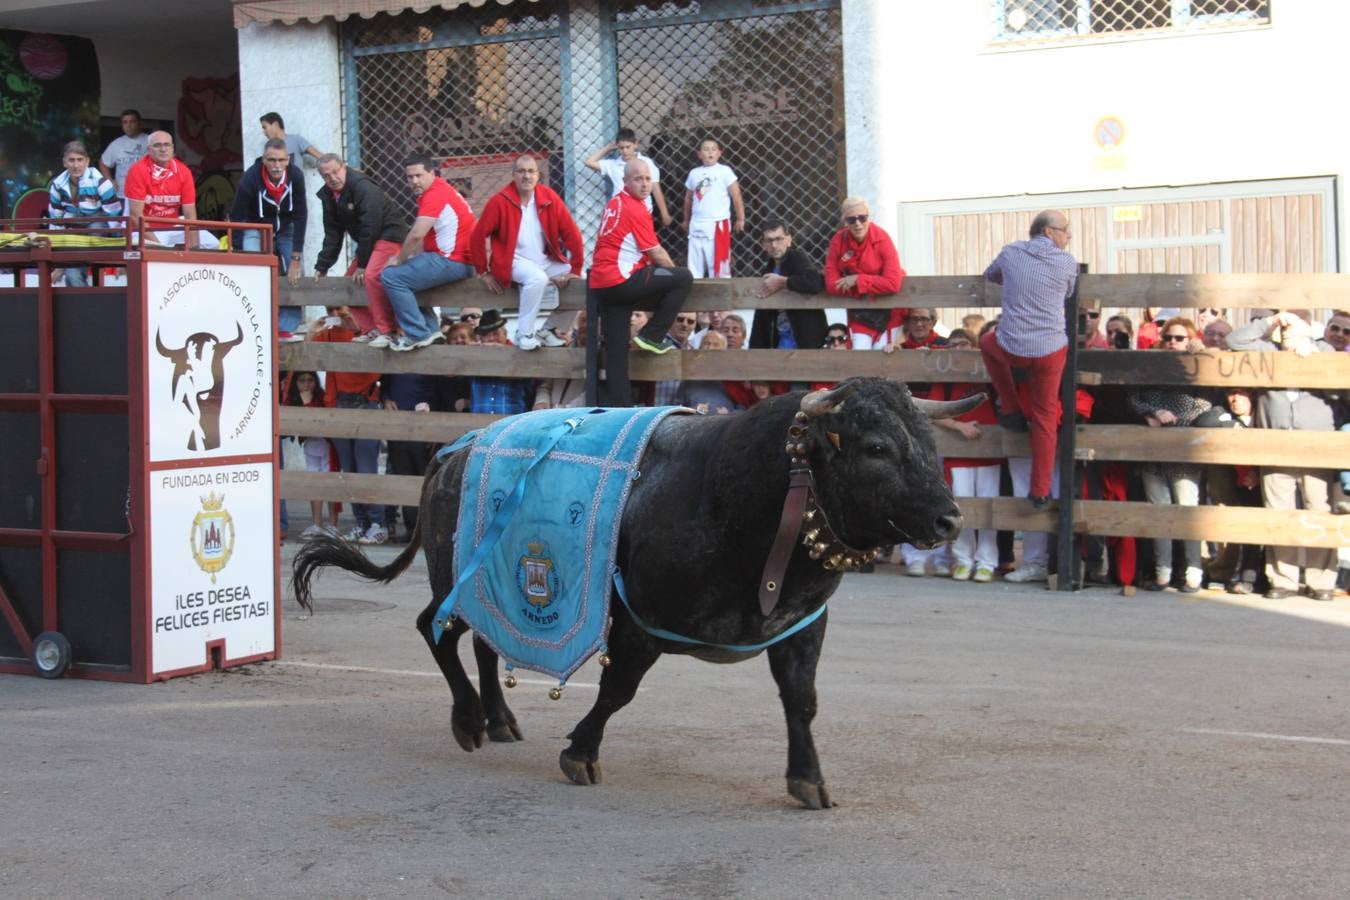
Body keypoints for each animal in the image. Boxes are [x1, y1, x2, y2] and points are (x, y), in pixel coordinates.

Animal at [292, 377, 982, 804]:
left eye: (929, 443)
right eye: (877, 447)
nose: (948, 520)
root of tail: (452, 450)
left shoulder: (803, 625)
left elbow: (801, 701)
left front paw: (808, 781)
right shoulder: (639, 623)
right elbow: (617, 691)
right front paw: (580, 752)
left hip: (488, 580)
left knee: (485, 640)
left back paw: (501, 718)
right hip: (448, 571)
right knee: (435, 629)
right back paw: (468, 721)